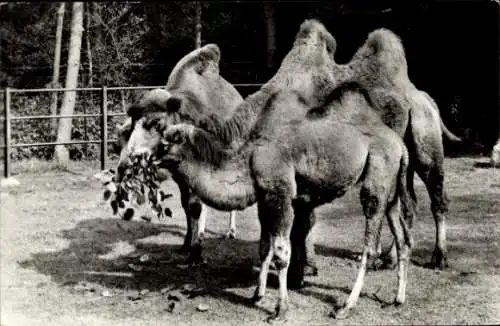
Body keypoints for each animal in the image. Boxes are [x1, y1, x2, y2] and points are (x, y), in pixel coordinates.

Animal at [110, 43, 244, 253]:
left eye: (157, 122)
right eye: (132, 125)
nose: (125, 166)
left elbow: (195, 206)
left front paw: (195, 249)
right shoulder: (180, 176)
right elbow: (187, 206)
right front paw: (187, 243)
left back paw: (230, 232)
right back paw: (203, 232)